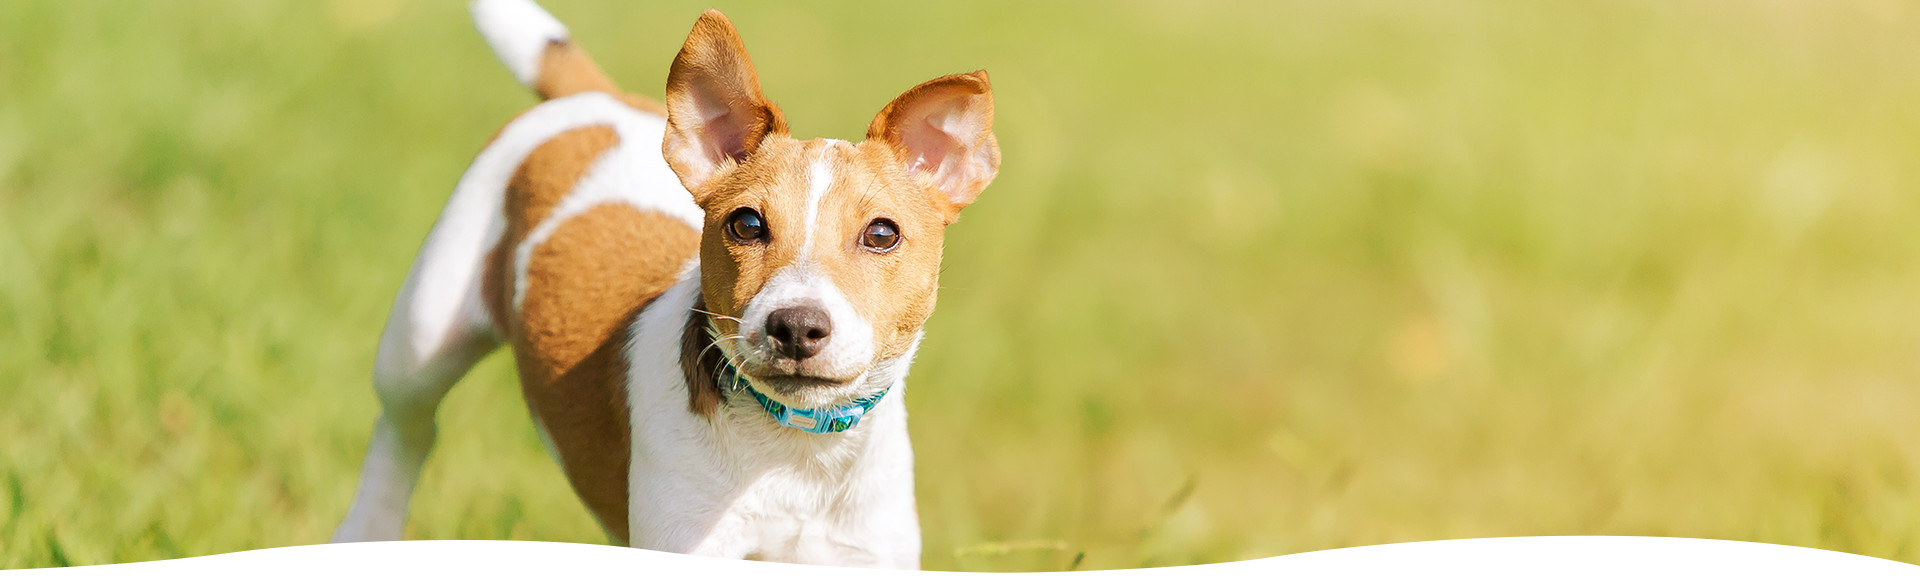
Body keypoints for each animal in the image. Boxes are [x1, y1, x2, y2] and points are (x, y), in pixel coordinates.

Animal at [330, 0, 998, 564]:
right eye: (747, 224)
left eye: (882, 234)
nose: (795, 326)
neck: (796, 450)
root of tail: (595, 97)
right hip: (423, 333)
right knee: (407, 427)